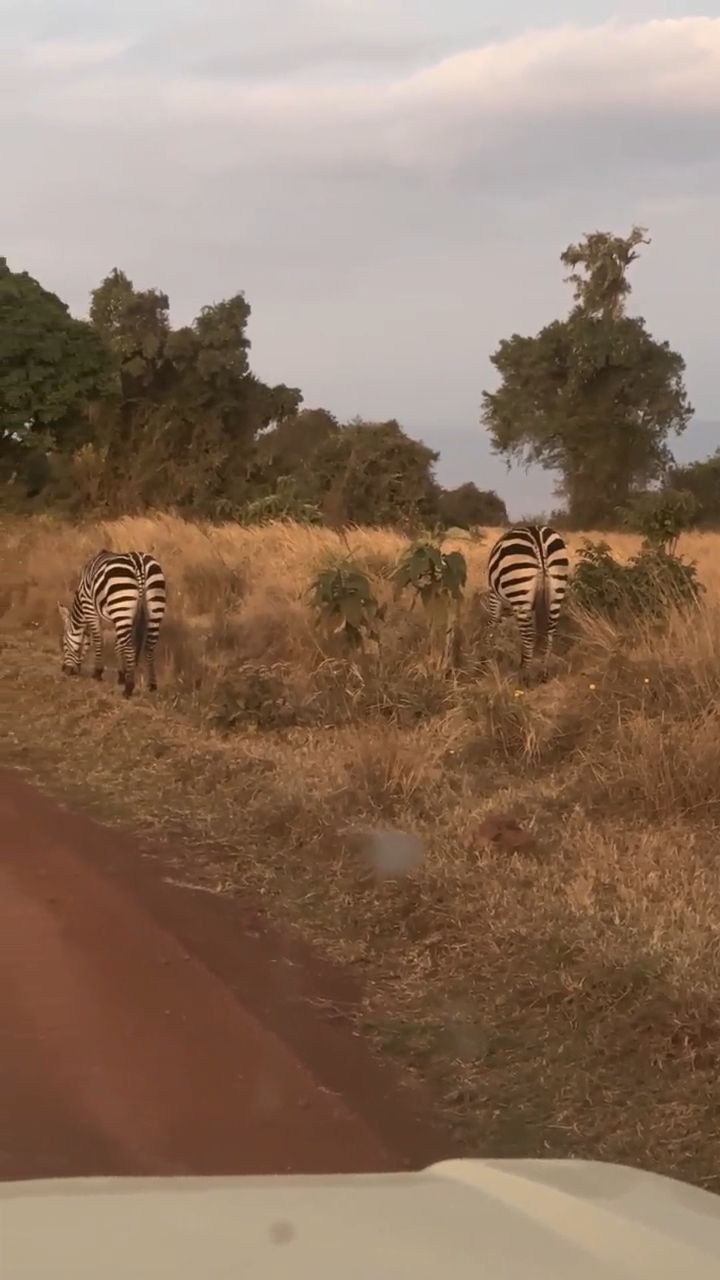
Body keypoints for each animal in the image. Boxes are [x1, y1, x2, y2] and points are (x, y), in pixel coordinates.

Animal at [57, 545, 166, 696]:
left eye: (64, 643)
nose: (64, 670)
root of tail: (139, 564)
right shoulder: (120, 618)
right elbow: (117, 645)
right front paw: (121, 675)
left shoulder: (90, 608)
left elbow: (98, 639)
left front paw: (98, 672)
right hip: (153, 605)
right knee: (149, 646)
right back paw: (152, 685)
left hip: (122, 603)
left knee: (130, 647)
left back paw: (129, 688)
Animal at [484, 524, 568, 675]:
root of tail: (538, 536)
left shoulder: (493, 594)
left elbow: (493, 621)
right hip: (556, 592)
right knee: (549, 635)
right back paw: (543, 672)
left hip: (519, 590)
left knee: (529, 638)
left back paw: (524, 675)